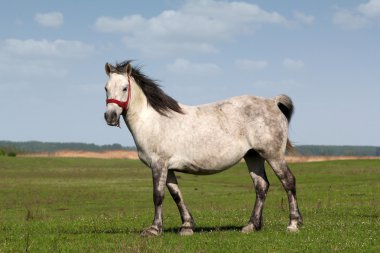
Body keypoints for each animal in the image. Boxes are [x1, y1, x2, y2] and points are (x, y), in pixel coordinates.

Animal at [103, 60, 302, 236]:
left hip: (273, 155)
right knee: (261, 186)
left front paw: (154, 229)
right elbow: (176, 195)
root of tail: (272, 102)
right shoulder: (168, 168)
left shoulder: (158, 164)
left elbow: (158, 196)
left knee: (288, 181)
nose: (110, 116)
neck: (154, 121)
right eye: (106, 88)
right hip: (253, 156)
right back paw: (251, 226)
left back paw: (293, 224)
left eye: (125, 88)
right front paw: (187, 226)